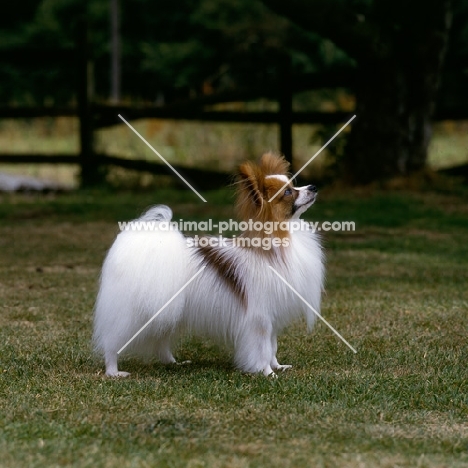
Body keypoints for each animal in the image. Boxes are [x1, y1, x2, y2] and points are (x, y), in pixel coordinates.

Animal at [93, 153, 324, 376]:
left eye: (294, 185)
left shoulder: (272, 317)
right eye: (288, 192)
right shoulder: (260, 318)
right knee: (113, 342)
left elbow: (273, 346)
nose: (313, 187)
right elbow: (262, 349)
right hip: (130, 315)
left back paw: (173, 363)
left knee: (161, 339)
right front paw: (266, 372)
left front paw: (277, 366)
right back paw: (114, 371)